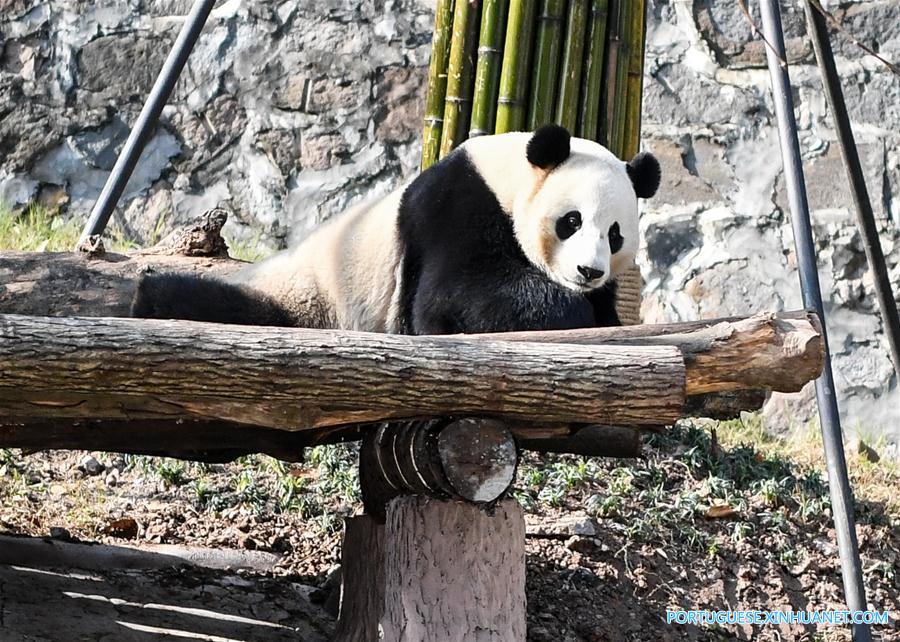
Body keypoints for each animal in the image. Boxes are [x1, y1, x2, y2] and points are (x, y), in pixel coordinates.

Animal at [130, 125, 660, 336]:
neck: (510, 177)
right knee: (212, 302)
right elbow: (454, 299)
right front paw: (567, 311)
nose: (589, 271)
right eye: (572, 221)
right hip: (313, 297)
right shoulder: (459, 209)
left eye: (615, 234)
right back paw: (146, 296)